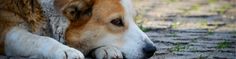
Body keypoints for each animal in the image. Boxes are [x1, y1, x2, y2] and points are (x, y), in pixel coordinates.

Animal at [0, 0, 157, 58]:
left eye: (134, 18)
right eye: (117, 21)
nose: (152, 49)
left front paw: (107, 49)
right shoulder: (6, 31)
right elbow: (39, 39)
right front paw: (65, 50)